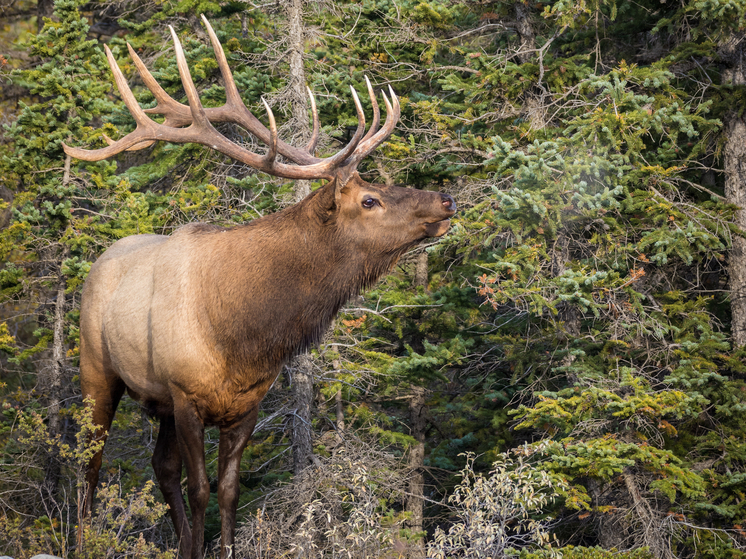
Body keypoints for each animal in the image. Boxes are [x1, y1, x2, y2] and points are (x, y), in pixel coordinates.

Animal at [64, 16, 456, 559]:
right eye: (370, 200)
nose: (446, 199)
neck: (246, 334)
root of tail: (100, 260)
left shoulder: (245, 404)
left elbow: (228, 491)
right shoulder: (186, 396)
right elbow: (200, 488)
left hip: (158, 403)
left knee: (160, 470)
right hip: (97, 369)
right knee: (90, 466)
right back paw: (84, 538)